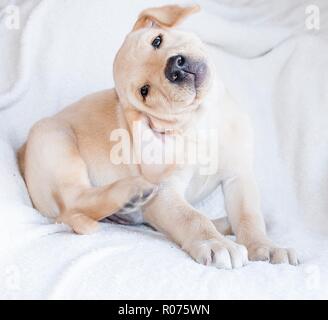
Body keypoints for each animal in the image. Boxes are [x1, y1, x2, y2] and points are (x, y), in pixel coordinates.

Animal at [19, 5, 298, 270]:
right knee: (74, 199)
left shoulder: (238, 176)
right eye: (145, 91)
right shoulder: (165, 192)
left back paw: (224, 224)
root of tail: (21, 154)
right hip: (55, 140)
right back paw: (131, 193)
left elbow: (249, 217)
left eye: (157, 40)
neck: (200, 122)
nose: (174, 68)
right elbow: (192, 218)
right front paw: (215, 243)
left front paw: (264, 246)